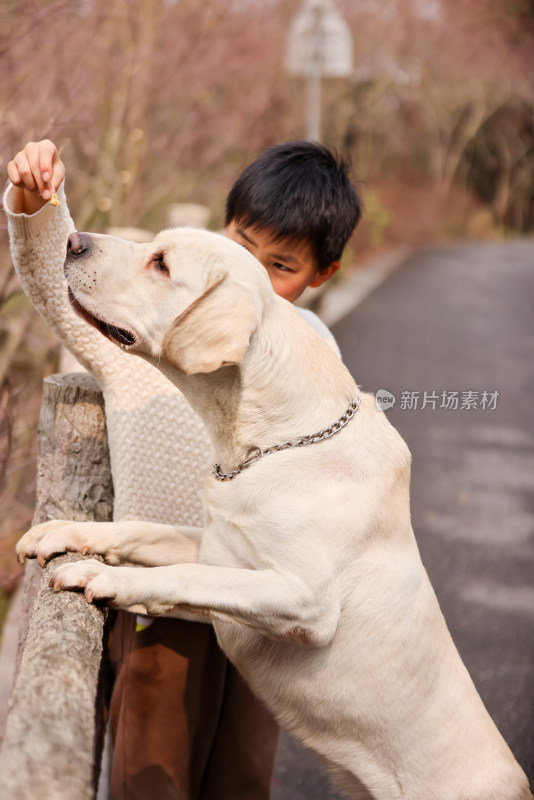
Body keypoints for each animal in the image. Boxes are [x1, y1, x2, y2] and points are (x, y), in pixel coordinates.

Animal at [16, 228, 532, 796]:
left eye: (161, 264)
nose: (73, 240)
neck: (268, 443)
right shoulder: (217, 546)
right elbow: (142, 532)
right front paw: (63, 532)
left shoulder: (304, 599)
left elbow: (188, 576)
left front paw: (102, 576)